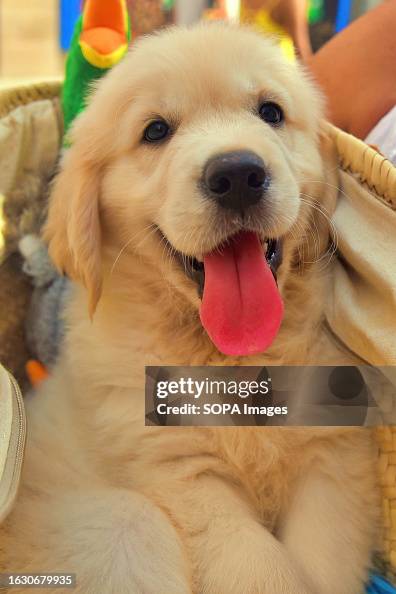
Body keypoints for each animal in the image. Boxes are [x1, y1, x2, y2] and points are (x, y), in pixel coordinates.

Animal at [0, 23, 378, 592]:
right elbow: (265, 569)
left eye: (271, 112)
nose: (238, 174)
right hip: (125, 524)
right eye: (155, 131)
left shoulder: (330, 457)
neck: (232, 356)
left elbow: (322, 560)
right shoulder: (180, 473)